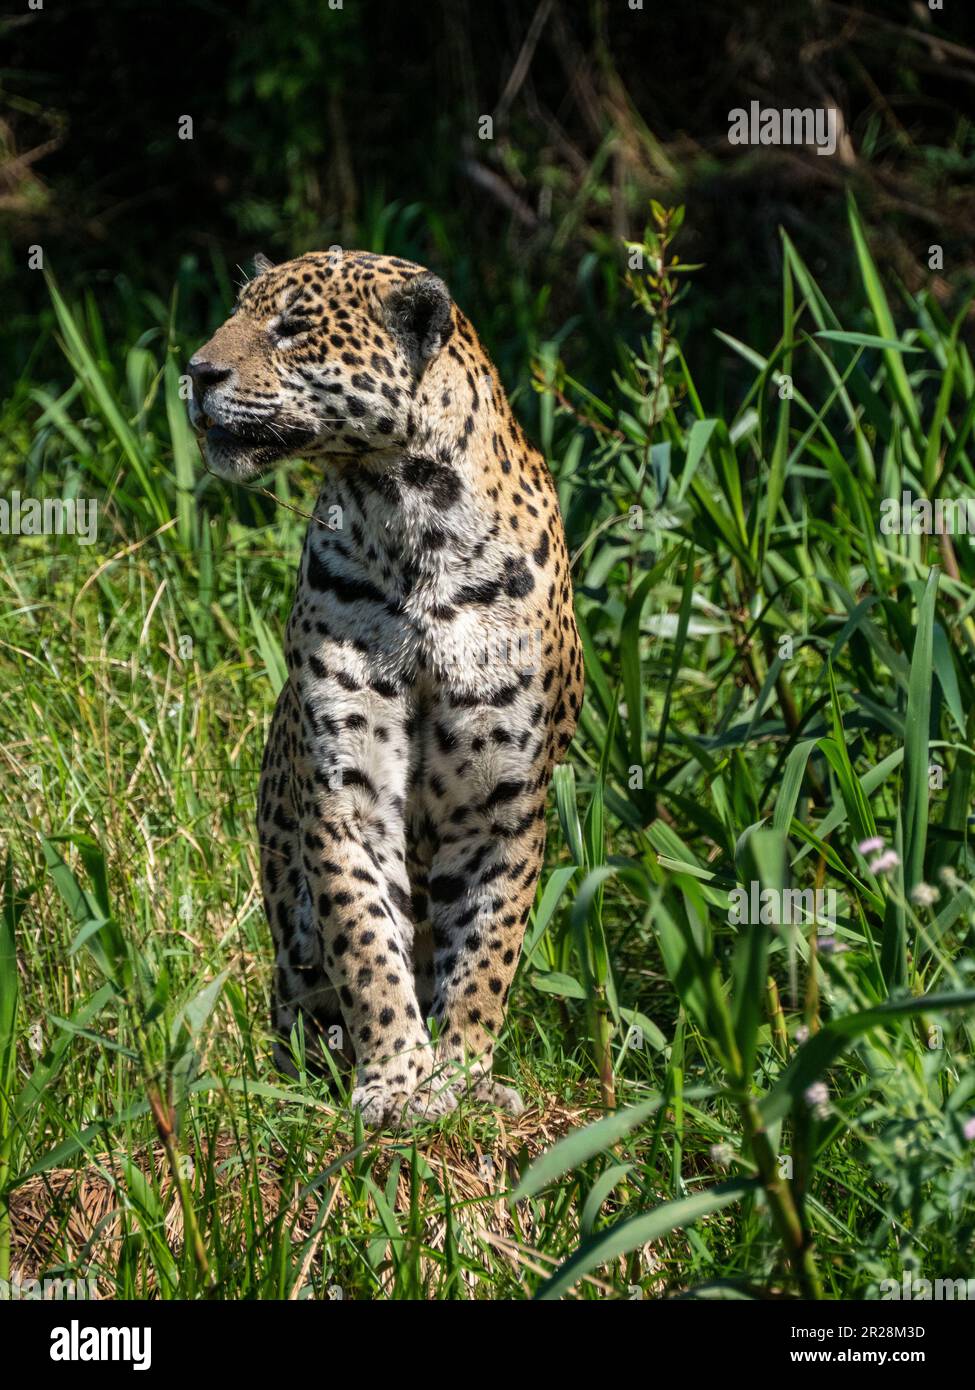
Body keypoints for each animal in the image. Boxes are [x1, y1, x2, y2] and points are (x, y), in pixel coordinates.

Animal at [188, 248, 583, 1129]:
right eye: (234, 315)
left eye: (292, 327)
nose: (195, 372)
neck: (409, 522)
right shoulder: (348, 793)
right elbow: (367, 944)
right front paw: (396, 1078)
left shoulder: (502, 805)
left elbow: (485, 953)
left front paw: (460, 1076)